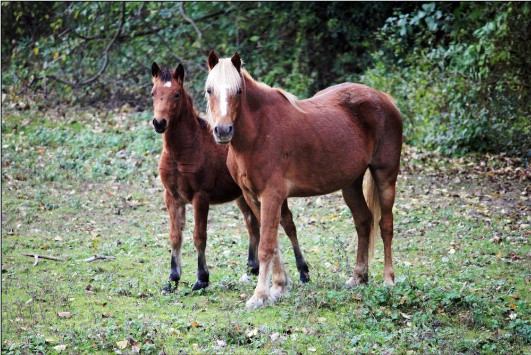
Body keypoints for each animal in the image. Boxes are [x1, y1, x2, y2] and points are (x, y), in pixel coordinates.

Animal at [150, 62, 310, 294]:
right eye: (153, 93)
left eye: (177, 94)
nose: (159, 123)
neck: (184, 150)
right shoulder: (171, 196)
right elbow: (175, 237)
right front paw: (172, 279)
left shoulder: (200, 196)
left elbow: (199, 236)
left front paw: (202, 279)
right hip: (242, 196)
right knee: (253, 225)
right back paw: (251, 269)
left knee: (287, 224)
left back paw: (303, 271)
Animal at [205, 52, 404, 308]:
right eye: (210, 90)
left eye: (238, 91)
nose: (223, 131)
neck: (259, 133)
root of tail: (386, 100)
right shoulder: (252, 197)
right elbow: (273, 243)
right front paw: (278, 287)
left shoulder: (271, 196)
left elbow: (265, 245)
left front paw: (259, 296)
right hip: (350, 184)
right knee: (363, 221)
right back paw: (359, 276)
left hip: (385, 176)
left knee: (385, 224)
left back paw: (389, 279)